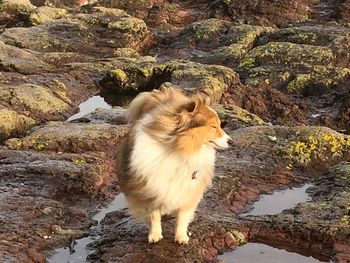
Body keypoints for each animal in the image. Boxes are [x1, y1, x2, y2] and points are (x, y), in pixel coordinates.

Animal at [119, 87, 231, 245]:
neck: (178, 148)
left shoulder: (187, 188)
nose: (231, 141)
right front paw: (155, 235)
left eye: (219, 125)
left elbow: (182, 216)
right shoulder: (149, 187)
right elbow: (153, 215)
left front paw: (181, 237)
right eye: (213, 126)